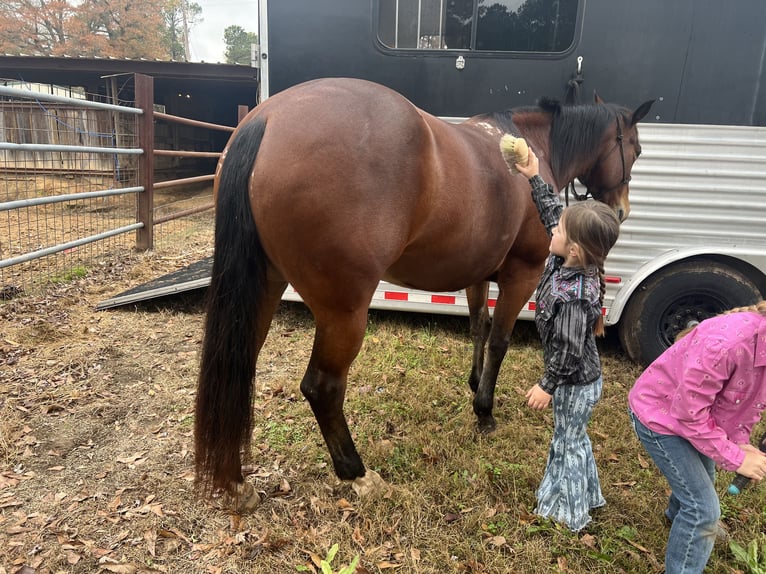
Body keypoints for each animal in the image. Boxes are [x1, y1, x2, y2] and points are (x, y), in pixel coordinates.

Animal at [194, 77, 656, 508]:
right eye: (634, 149)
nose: (621, 211)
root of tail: (267, 119)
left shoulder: (477, 272)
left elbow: (479, 327)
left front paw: (474, 385)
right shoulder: (519, 275)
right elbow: (500, 340)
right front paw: (484, 411)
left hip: (263, 289)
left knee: (238, 367)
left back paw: (235, 482)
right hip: (343, 312)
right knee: (322, 387)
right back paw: (357, 474)